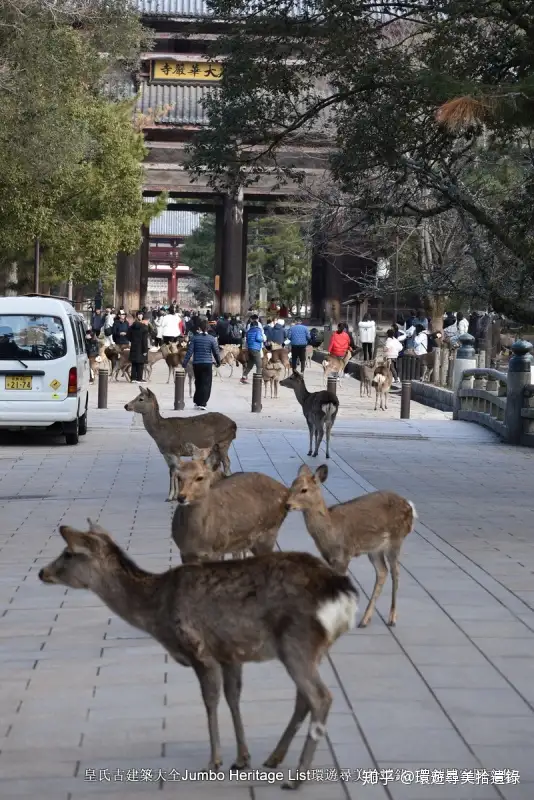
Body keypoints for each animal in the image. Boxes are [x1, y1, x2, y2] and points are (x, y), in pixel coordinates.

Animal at [38, 520, 360, 792]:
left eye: (68, 553)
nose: (42, 572)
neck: (157, 610)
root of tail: (344, 593)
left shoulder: (198, 648)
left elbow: (210, 700)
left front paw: (214, 762)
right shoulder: (230, 653)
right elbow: (233, 697)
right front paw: (241, 758)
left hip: (296, 641)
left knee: (321, 697)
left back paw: (295, 778)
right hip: (311, 649)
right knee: (304, 698)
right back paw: (274, 758)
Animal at [286, 466, 416, 628]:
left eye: (304, 489)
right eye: (291, 485)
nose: (287, 504)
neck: (331, 530)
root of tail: (410, 507)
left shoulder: (344, 554)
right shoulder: (330, 558)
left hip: (396, 539)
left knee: (395, 572)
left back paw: (392, 618)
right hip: (374, 549)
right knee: (382, 572)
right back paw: (365, 620)